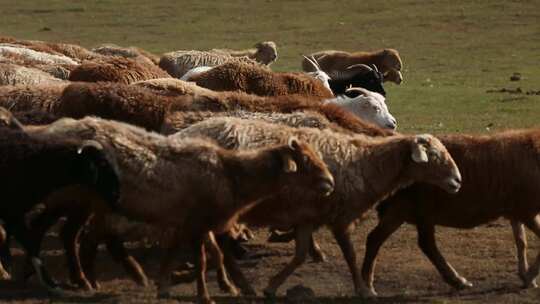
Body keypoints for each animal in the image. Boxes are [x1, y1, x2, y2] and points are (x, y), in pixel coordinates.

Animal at [173, 117, 460, 296]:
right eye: (435, 156)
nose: (458, 181)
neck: (365, 163)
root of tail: (180, 135)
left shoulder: (307, 216)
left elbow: (300, 255)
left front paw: (273, 286)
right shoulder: (340, 216)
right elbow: (351, 255)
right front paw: (363, 289)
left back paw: (233, 283)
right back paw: (234, 282)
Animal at [358, 130, 540, 294]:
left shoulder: (517, 210)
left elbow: (521, 241)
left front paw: (525, 275)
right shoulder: (526, 211)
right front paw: (529, 277)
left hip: (402, 210)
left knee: (375, 238)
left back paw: (367, 284)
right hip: (417, 208)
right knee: (425, 243)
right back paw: (457, 280)